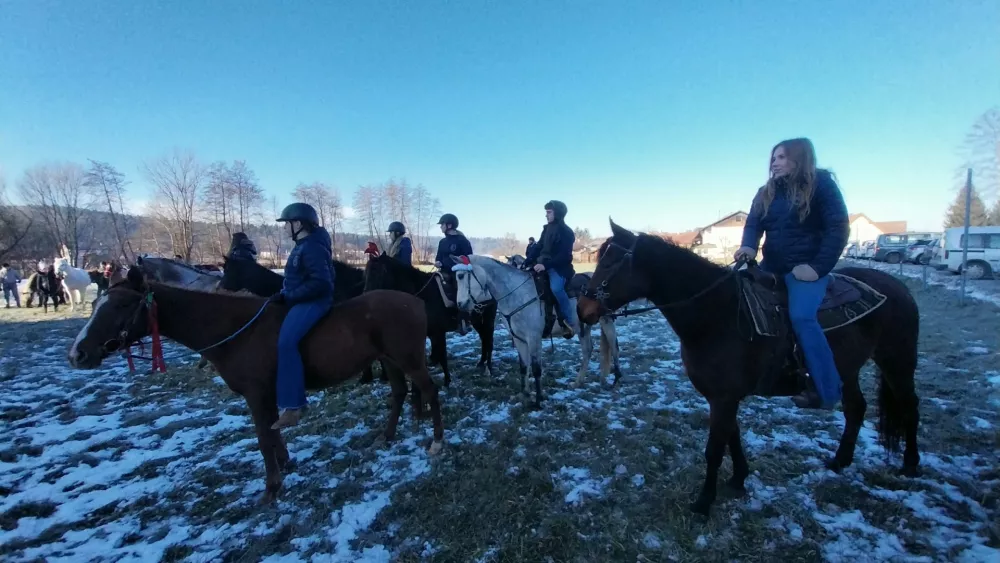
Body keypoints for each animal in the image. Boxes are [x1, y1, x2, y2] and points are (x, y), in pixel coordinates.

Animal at [68, 268, 444, 502]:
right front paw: (286, 465)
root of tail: (415, 300)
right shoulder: (265, 395)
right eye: (96, 303)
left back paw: (437, 443)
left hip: (409, 360)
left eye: (121, 304)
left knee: (430, 390)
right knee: (399, 393)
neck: (237, 330)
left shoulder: (255, 394)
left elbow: (264, 439)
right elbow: (274, 434)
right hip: (391, 361)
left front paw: (271, 488)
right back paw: (387, 435)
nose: (78, 354)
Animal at [452, 256, 620, 406]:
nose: (460, 304)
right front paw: (524, 394)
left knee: (613, 346)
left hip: (606, 320)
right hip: (583, 327)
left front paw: (538, 400)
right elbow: (523, 367)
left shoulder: (534, 338)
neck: (517, 294)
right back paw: (579, 382)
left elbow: (536, 368)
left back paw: (616, 379)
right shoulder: (519, 339)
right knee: (587, 350)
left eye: (461, 276)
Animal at [580, 220, 920, 516]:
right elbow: (733, 436)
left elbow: (715, 448)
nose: (584, 310)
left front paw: (704, 502)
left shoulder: (724, 398)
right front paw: (739, 479)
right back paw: (841, 461)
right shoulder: (721, 397)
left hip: (897, 361)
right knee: (856, 408)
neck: (718, 315)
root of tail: (898, 287)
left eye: (610, 263)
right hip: (847, 369)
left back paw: (910, 464)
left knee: (909, 405)